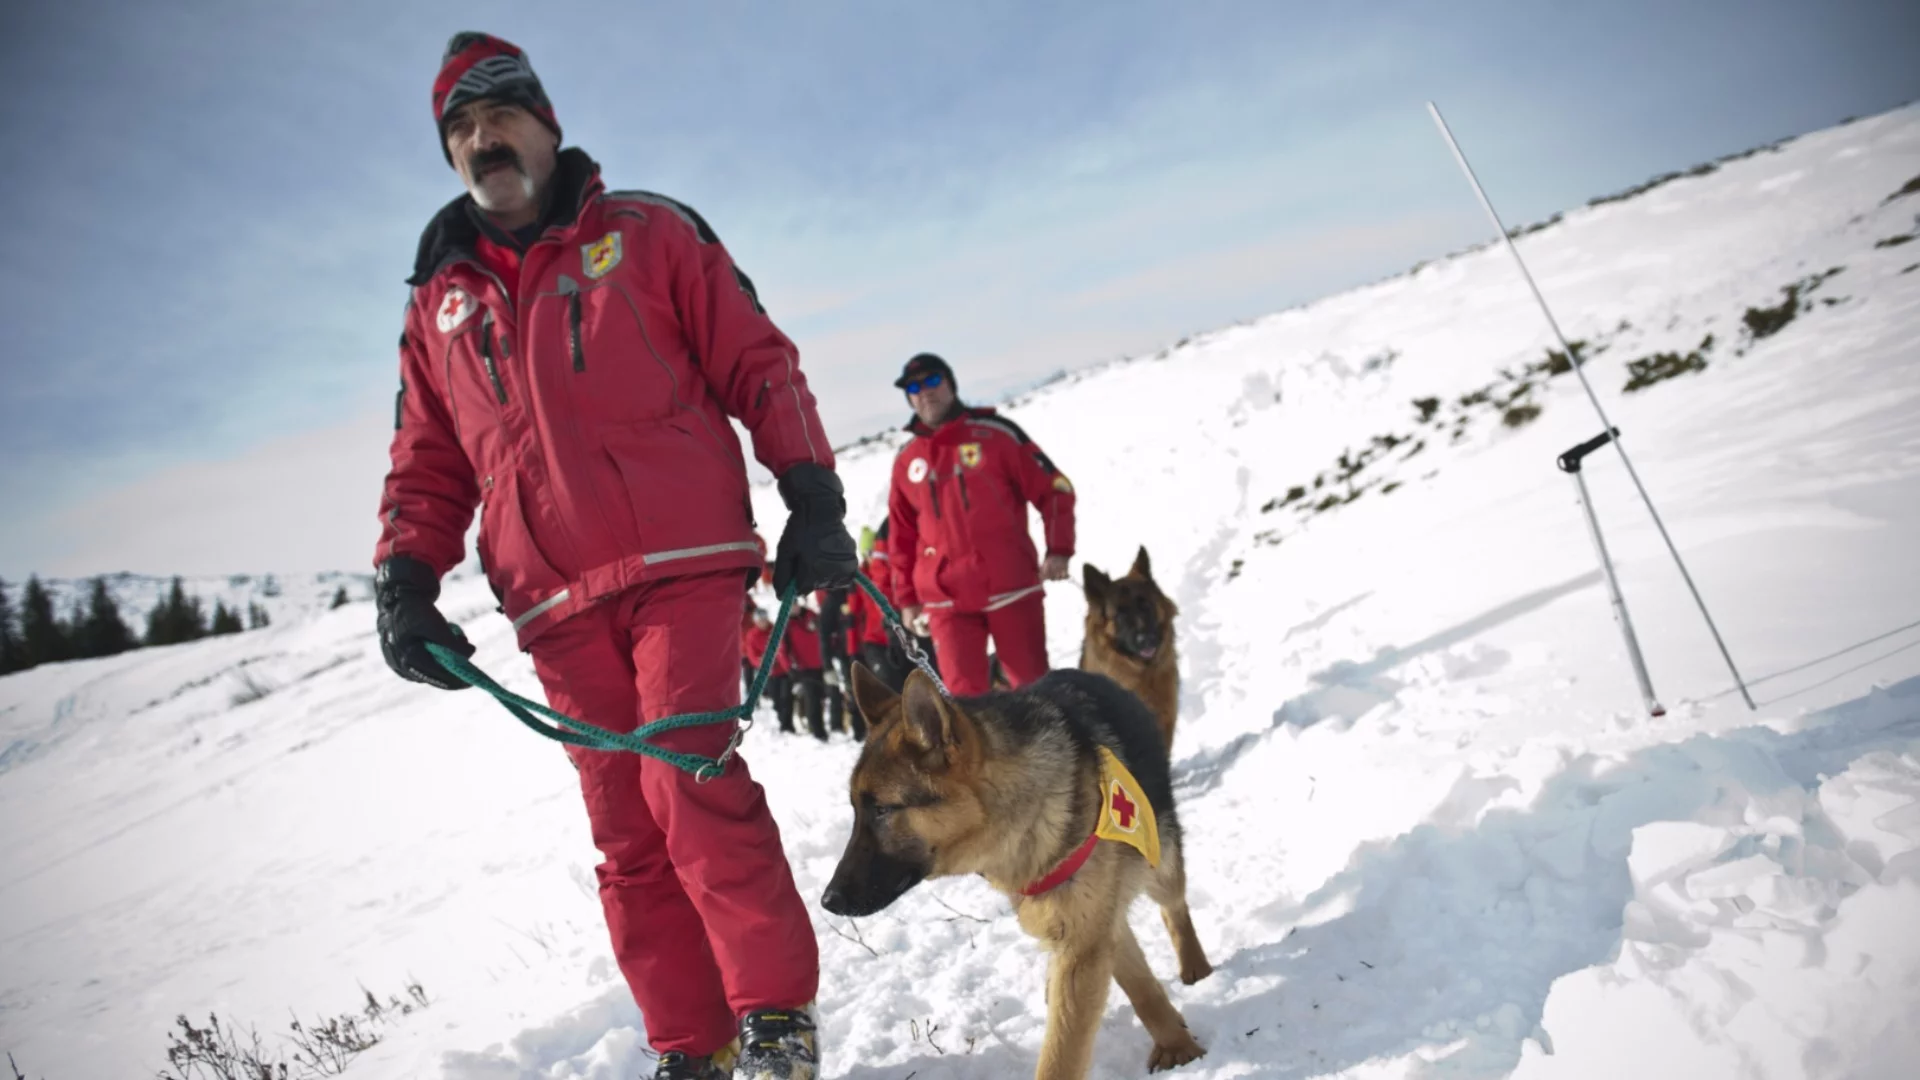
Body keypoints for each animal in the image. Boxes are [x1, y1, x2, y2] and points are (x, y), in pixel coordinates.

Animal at [817, 661, 1205, 1068]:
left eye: (882, 810)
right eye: (856, 810)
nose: (828, 901)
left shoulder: (1084, 939)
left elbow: (1061, 1055)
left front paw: (1181, 1049)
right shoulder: (1084, 929)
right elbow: (1135, 983)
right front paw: (1175, 1042)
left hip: (1159, 862)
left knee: (1174, 907)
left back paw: (1195, 967)